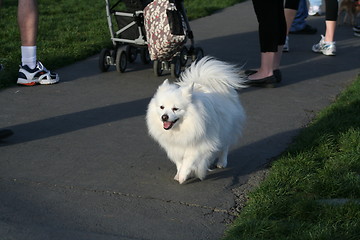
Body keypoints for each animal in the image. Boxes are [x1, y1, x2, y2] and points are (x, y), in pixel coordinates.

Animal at [145, 56, 246, 184]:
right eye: (162, 107)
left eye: (175, 109)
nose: (164, 117)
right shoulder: (176, 147)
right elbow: (180, 162)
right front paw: (179, 173)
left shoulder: (199, 146)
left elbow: (188, 161)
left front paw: (183, 176)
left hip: (226, 129)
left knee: (225, 146)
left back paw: (221, 162)